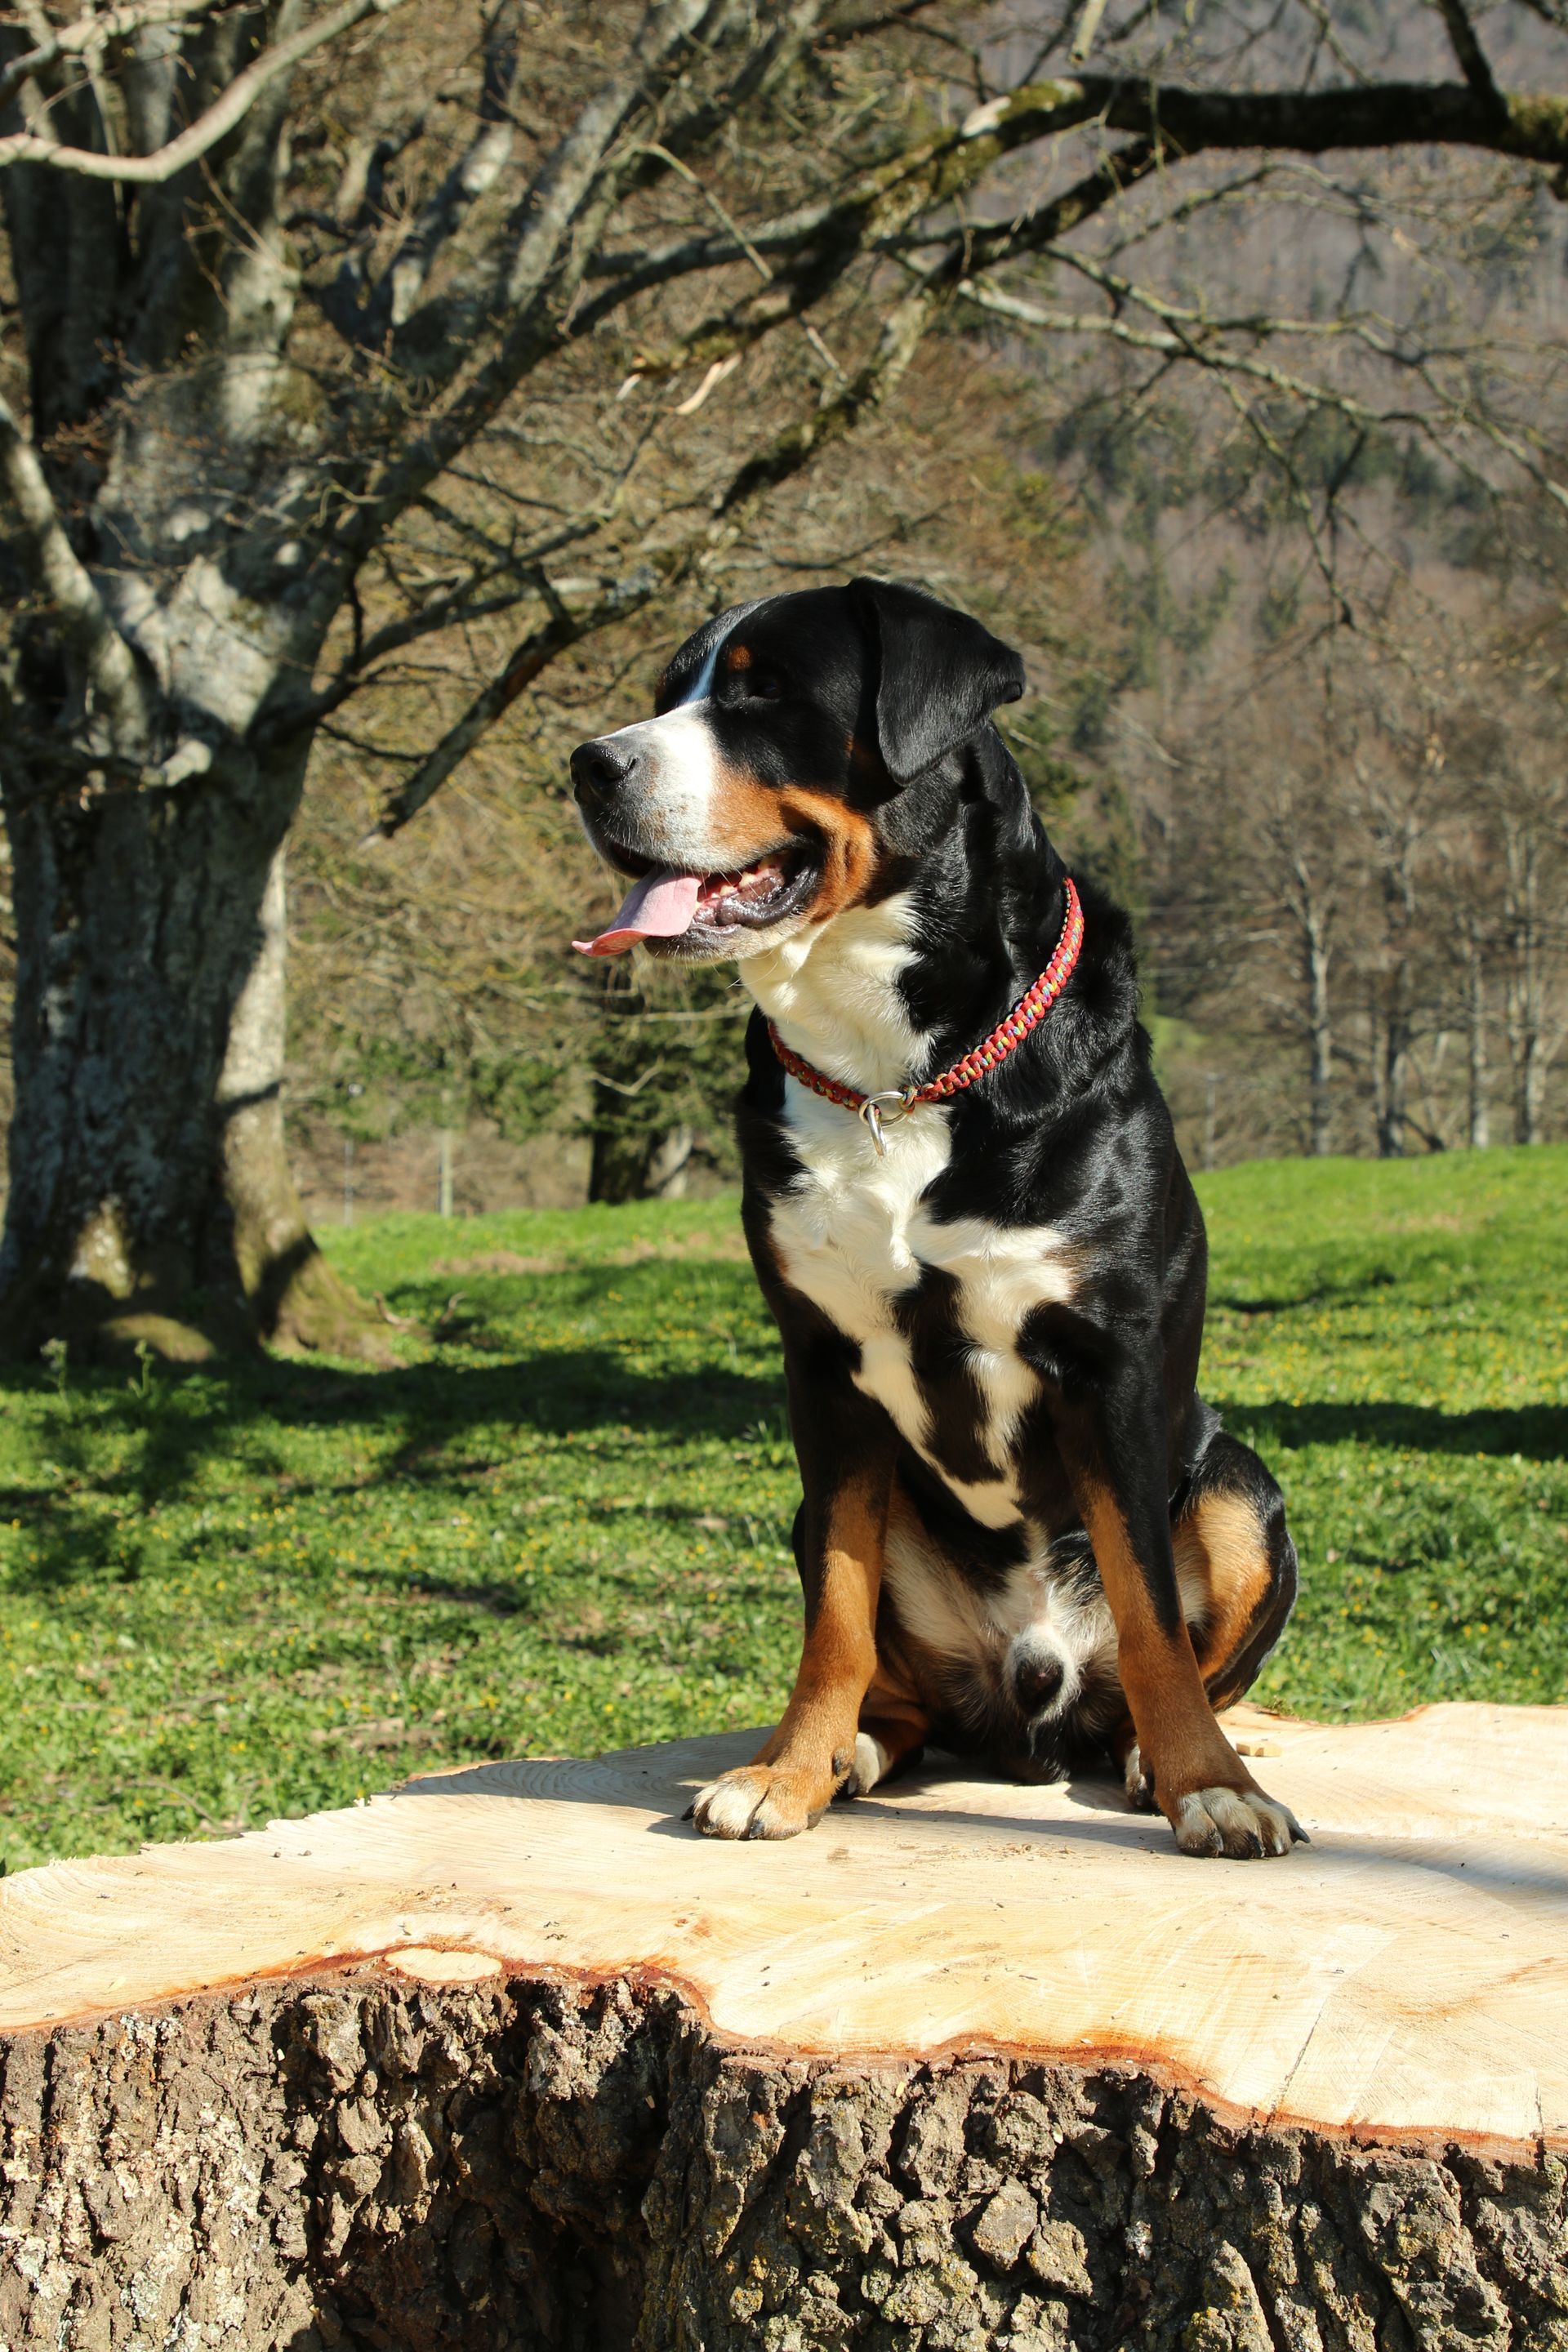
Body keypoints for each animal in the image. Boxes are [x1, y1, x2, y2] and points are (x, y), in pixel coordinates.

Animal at [570, 578, 1303, 1860]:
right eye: (668, 691)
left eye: (763, 690)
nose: (588, 763)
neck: (894, 1072)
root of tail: (1031, 1712)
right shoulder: (824, 1372)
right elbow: (839, 1613)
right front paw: (791, 1767)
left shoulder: (1109, 1362)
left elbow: (1153, 1609)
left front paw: (1211, 1786)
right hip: (826, 1514)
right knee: (895, 1673)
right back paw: (859, 1751)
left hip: (1239, 1489)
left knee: (1166, 1654)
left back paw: (1152, 1763)